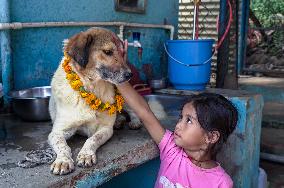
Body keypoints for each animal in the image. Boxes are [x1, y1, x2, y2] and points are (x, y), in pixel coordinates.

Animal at [47, 27, 144, 175]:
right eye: (108, 52)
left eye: (123, 53)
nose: (130, 75)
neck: (92, 87)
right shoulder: (58, 131)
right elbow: (62, 145)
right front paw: (63, 161)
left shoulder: (105, 128)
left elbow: (92, 139)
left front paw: (86, 154)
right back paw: (119, 122)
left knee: (132, 111)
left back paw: (134, 122)